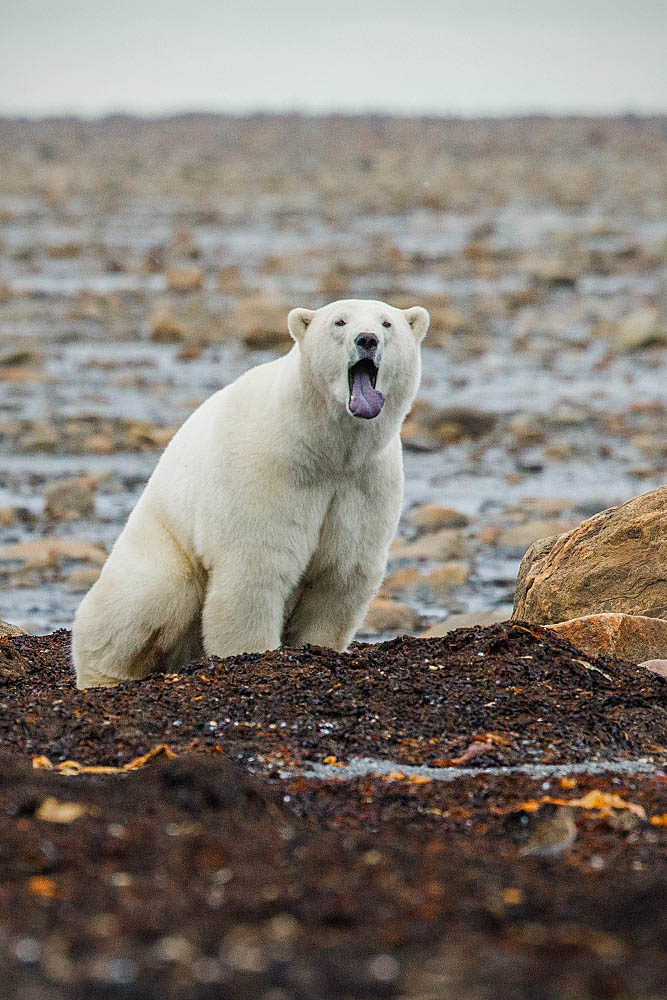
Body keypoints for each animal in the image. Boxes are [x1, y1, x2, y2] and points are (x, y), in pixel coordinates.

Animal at [72, 296, 428, 688]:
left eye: (387, 323)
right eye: (339, 322)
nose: (367, 339)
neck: (323, 449)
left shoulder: (365, 483)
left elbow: (340, 574)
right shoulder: (267, 470)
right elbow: (256, 567)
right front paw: (255, 656)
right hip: (164, 541)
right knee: (145, 596)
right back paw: (104, 676)